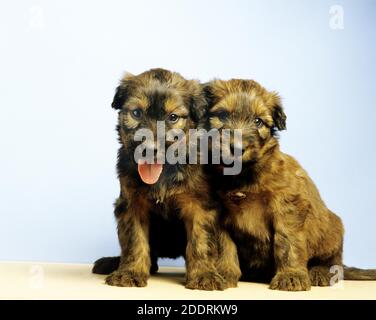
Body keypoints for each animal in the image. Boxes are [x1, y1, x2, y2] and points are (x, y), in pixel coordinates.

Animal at [99, 69, 241, 288]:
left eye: (173, 117)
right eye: (136, 113)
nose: (149, 149)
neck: (164, 172)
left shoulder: (200, 206)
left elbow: (201, 241)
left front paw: (204, 275)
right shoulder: (132, 204)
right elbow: (134, 241)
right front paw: (130, 273)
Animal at [203, 79, 376, 290]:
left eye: (258, 121)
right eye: (222, 115)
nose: (237, 148)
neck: (243, 174)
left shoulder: (288, 206)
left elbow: (288, 243)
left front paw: (291, 275)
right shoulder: (220, 213)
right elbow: (224, 246)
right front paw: (222, 273)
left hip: (332, 231)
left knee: (334, 262)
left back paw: (319, 272)